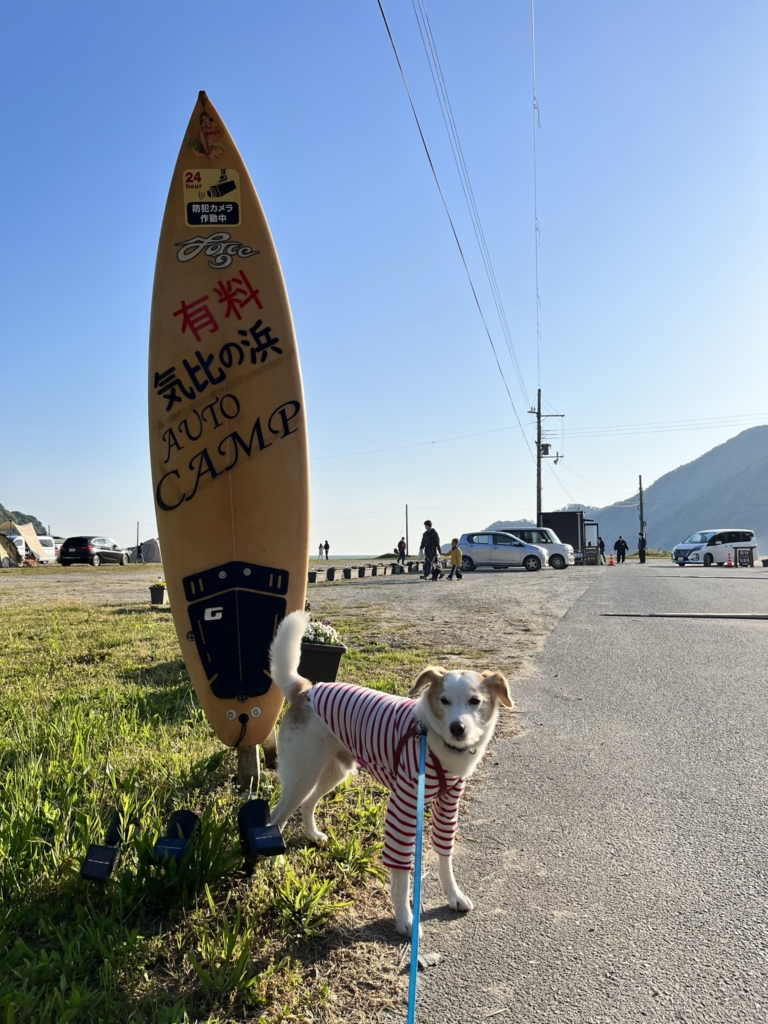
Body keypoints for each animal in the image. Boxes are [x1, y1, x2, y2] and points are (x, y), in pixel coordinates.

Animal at [268, 610, 514, 933]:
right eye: (444, 701)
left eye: (476, 701)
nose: (457, 728)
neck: (434, 741)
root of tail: (306, 689)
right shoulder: (403, 808)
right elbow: (401, 875)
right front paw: (406, 921)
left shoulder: (448, 806)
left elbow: (445, 855)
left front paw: (454, 895)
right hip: (302, 776)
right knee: (275, 818)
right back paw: (276, 864)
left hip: (333, 772)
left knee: (309, 804)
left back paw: (313, 835)